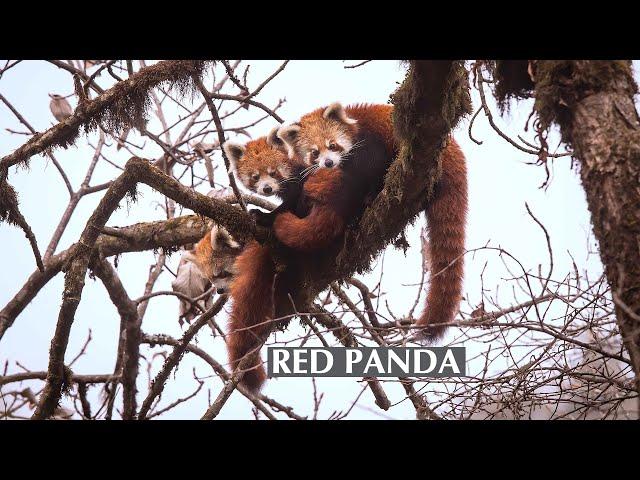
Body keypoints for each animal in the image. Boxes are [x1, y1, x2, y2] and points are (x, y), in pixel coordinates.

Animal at [278, 102, 468, 342]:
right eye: (314, 152)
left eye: (333, 145)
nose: (328, 163)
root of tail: (455, 153)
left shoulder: (370, 144)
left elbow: (373, 166)